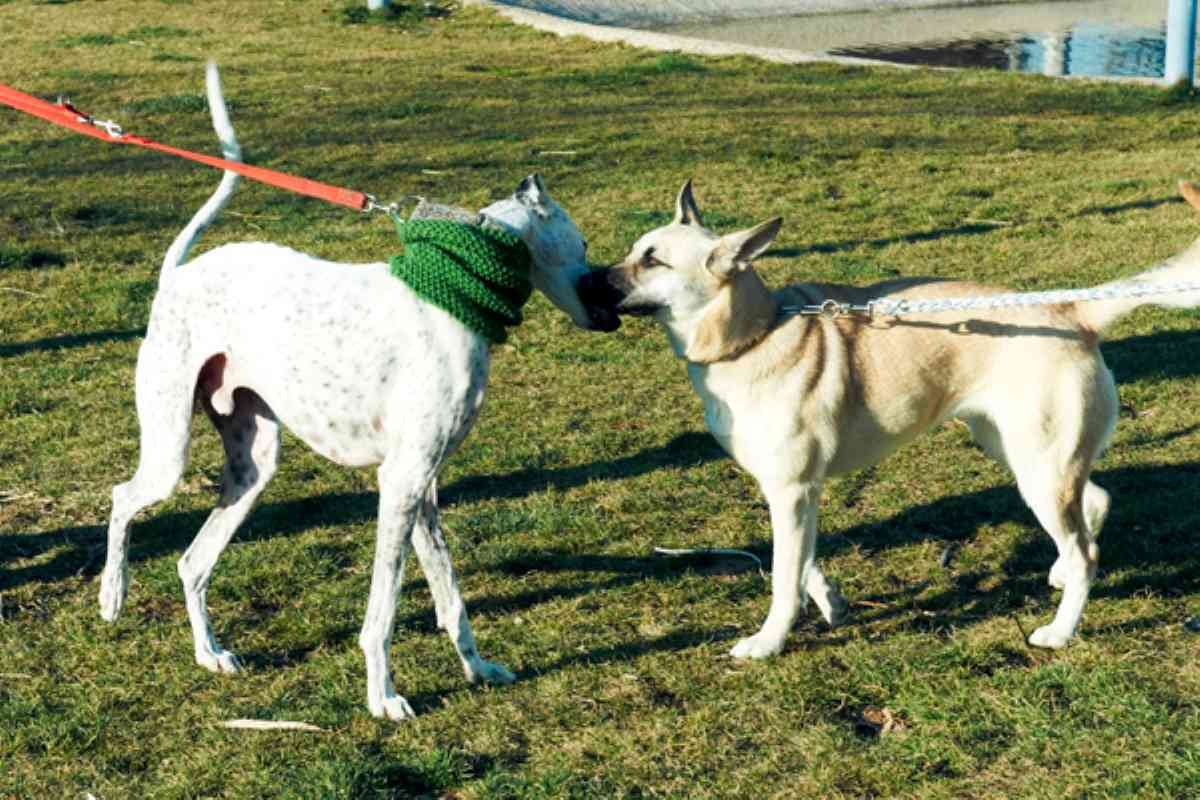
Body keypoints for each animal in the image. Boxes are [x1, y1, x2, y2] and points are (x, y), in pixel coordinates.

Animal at [98, 65, 614, 724]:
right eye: (581, 244)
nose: (613, 308)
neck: (457, 287)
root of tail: (176, 276)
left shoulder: (422, 487)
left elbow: (450, 597)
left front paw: (479, 669)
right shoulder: (401, 482)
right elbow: (383, 613)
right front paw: (383, 697)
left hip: (252, 468)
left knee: (192, 562)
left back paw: (210, 653)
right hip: (170, 450)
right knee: (123, 498)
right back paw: (112, 595)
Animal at [578, 184, 1200, 662]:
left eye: (653, 260)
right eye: (634, 250)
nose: (584, 280)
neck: (752, 333)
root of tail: (1072, 312)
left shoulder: (791, 489)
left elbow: (782, 575)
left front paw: (769, 641)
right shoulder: (795, 492)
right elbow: (801, 562)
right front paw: (830, 600)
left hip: (1039, 468)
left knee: (1086, 550)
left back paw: (1060, 630)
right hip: (1020, 454)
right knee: (1094, 505)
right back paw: (1059, 574)